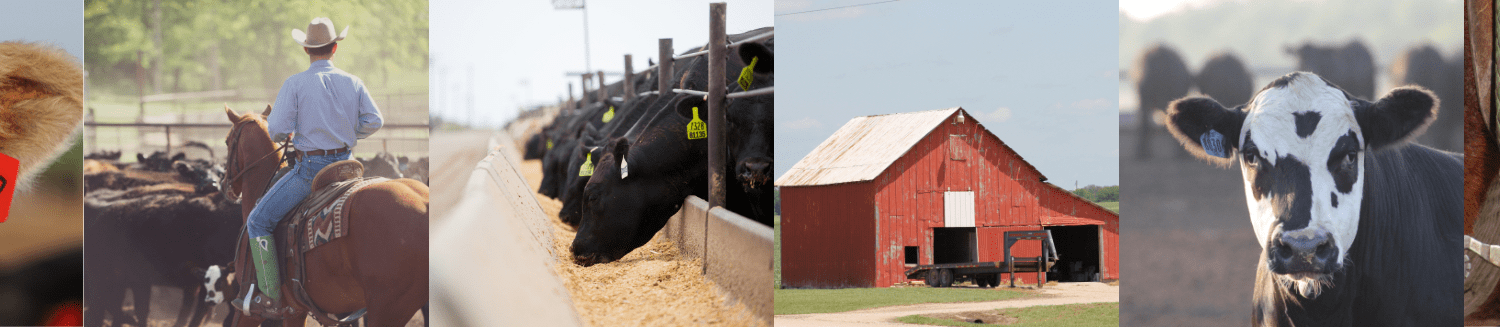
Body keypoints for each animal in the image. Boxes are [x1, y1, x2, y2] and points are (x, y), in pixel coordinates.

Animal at [219, 106, 429, 327]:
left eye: (227, 141)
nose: (224, 185)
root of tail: (424, 204)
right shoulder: (295, 311)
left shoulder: (248, 310)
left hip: (387, 309)